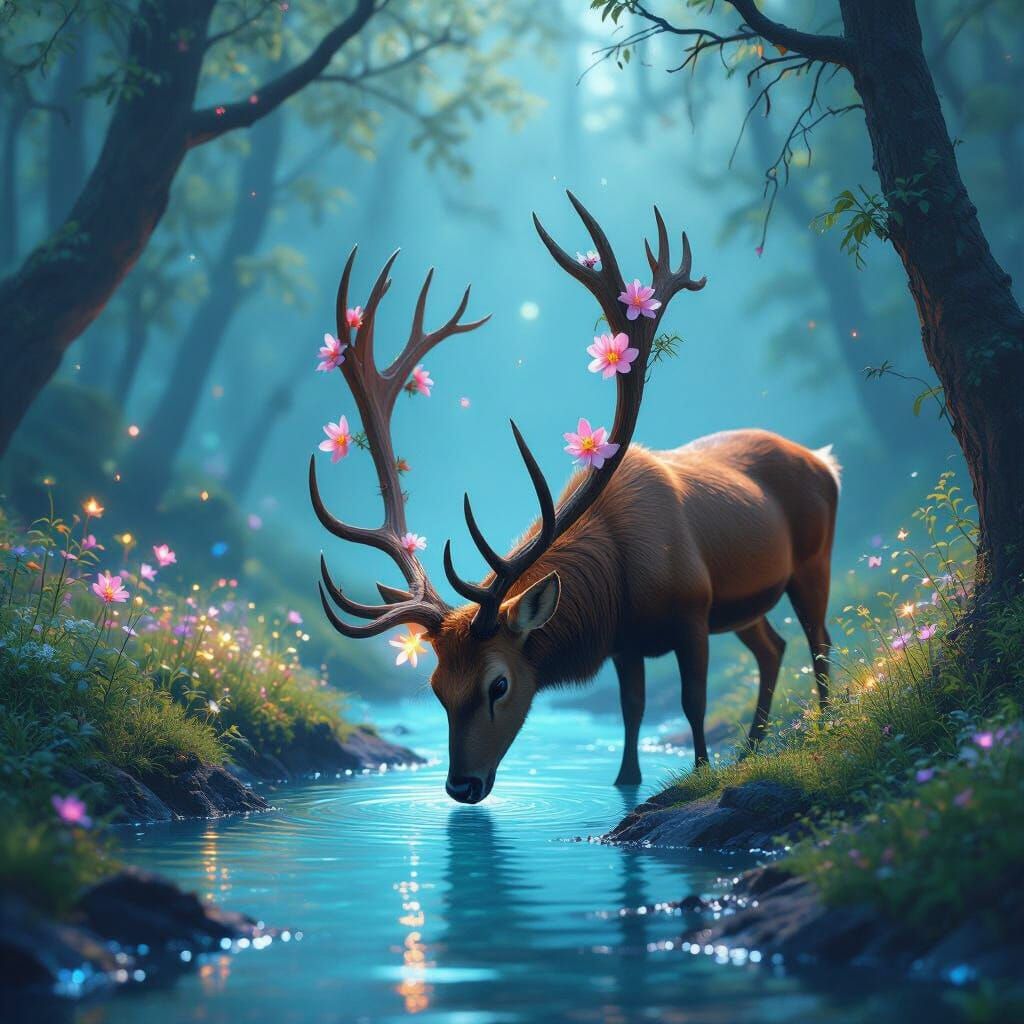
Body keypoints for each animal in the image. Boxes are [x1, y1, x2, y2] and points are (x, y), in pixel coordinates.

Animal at [310, 193, 840, 805]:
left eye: (498, 684)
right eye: (437, 687)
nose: (461, 785)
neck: (622, 580)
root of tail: (825, 460)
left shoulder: (692, 609)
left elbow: (692, 701)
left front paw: (703, 772)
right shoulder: (627, 642)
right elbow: (632, 707)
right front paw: (626, 779)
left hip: (812, 561)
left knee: (818, 640)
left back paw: (826, 726)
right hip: (745, 605)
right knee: (772, 646)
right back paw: (753, 749)